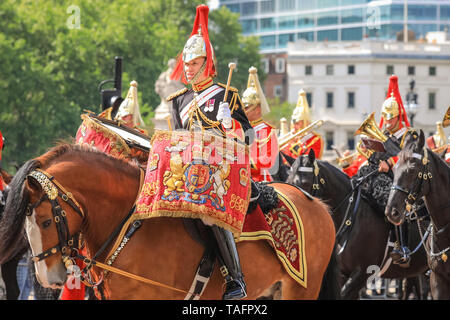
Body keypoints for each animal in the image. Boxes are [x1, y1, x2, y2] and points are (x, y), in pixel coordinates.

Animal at [0, 145, 336, 300]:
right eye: (25, 228)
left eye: (46, 221)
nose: (48, 278)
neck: (128, 226)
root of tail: (317, 203)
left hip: (302, 290)